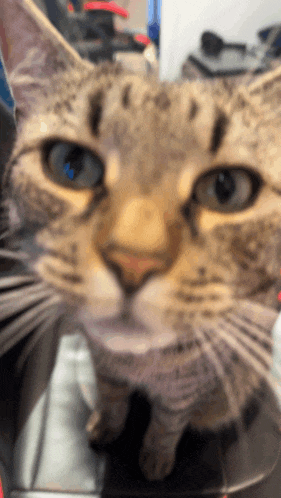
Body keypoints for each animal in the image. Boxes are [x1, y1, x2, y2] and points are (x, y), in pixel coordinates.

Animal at [0, 0, 280, 482]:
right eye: (71, 165)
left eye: (226, 188)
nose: (133, 261)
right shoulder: (104, 364)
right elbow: (112, 395)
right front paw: (105, 426)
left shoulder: (186, 388)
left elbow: (168, 422)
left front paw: (155, 457)